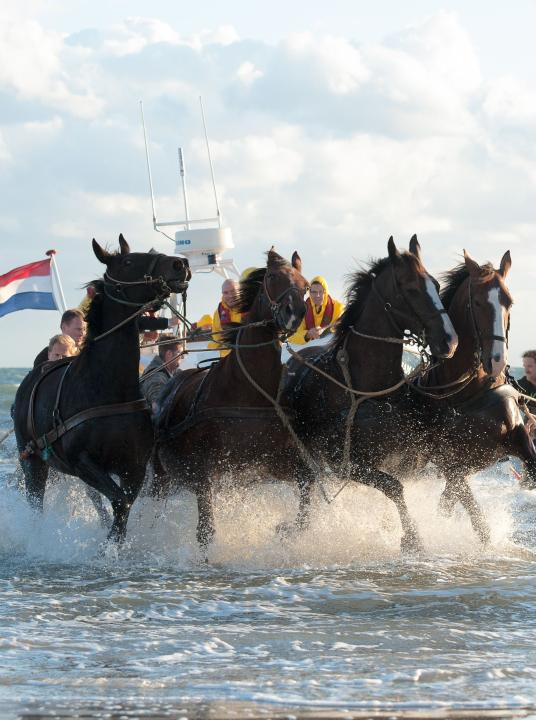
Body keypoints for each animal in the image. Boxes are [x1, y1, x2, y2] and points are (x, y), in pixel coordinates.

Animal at [13, 233, 191, 544]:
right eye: (128, 261)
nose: (180, 264)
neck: (105, 387)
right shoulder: (83, 462)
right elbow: (121, 502)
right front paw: (107, 547)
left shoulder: (134, 466)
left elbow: (125, 505)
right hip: (32, 460)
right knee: (36, 501)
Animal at [153, 250, 308, 556]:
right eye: (273, 277)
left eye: (305, 284)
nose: (294, 313)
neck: (245, 390)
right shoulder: (204, 471)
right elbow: (205, 530)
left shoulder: (268, 464)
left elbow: (307, 487)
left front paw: (287, 529)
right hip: (160, 477)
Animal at [286, 236, 458, 552]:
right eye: (411, 289)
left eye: (436, 284)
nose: (449, 341)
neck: (366, 388)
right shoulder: (342, 461)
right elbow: (393, 486)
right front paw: (411, 536)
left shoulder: (406, 457)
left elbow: (400, 483)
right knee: (307, 484)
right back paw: (299, 528)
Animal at [382, 248, 536, 540]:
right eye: (476, 302)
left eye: (509, 301)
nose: (497, 361)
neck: (470, 393)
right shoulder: (451, 464)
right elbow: (476, 519)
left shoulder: (516, 436)